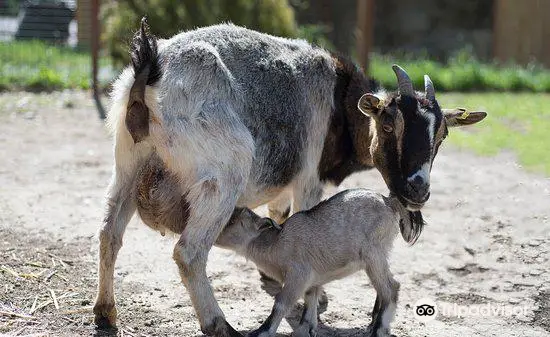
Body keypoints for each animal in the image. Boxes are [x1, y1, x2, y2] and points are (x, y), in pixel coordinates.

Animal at [218, 189, 420, 336]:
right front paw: (306, 329)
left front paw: (261, 332)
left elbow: (281, 304)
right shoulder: (312, 279)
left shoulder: (298, 275)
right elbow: (310, 301)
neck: (277, 244)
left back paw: (379, 330)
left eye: (232, 221)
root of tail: (389, 202)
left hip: (373, 256)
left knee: (391, 287)